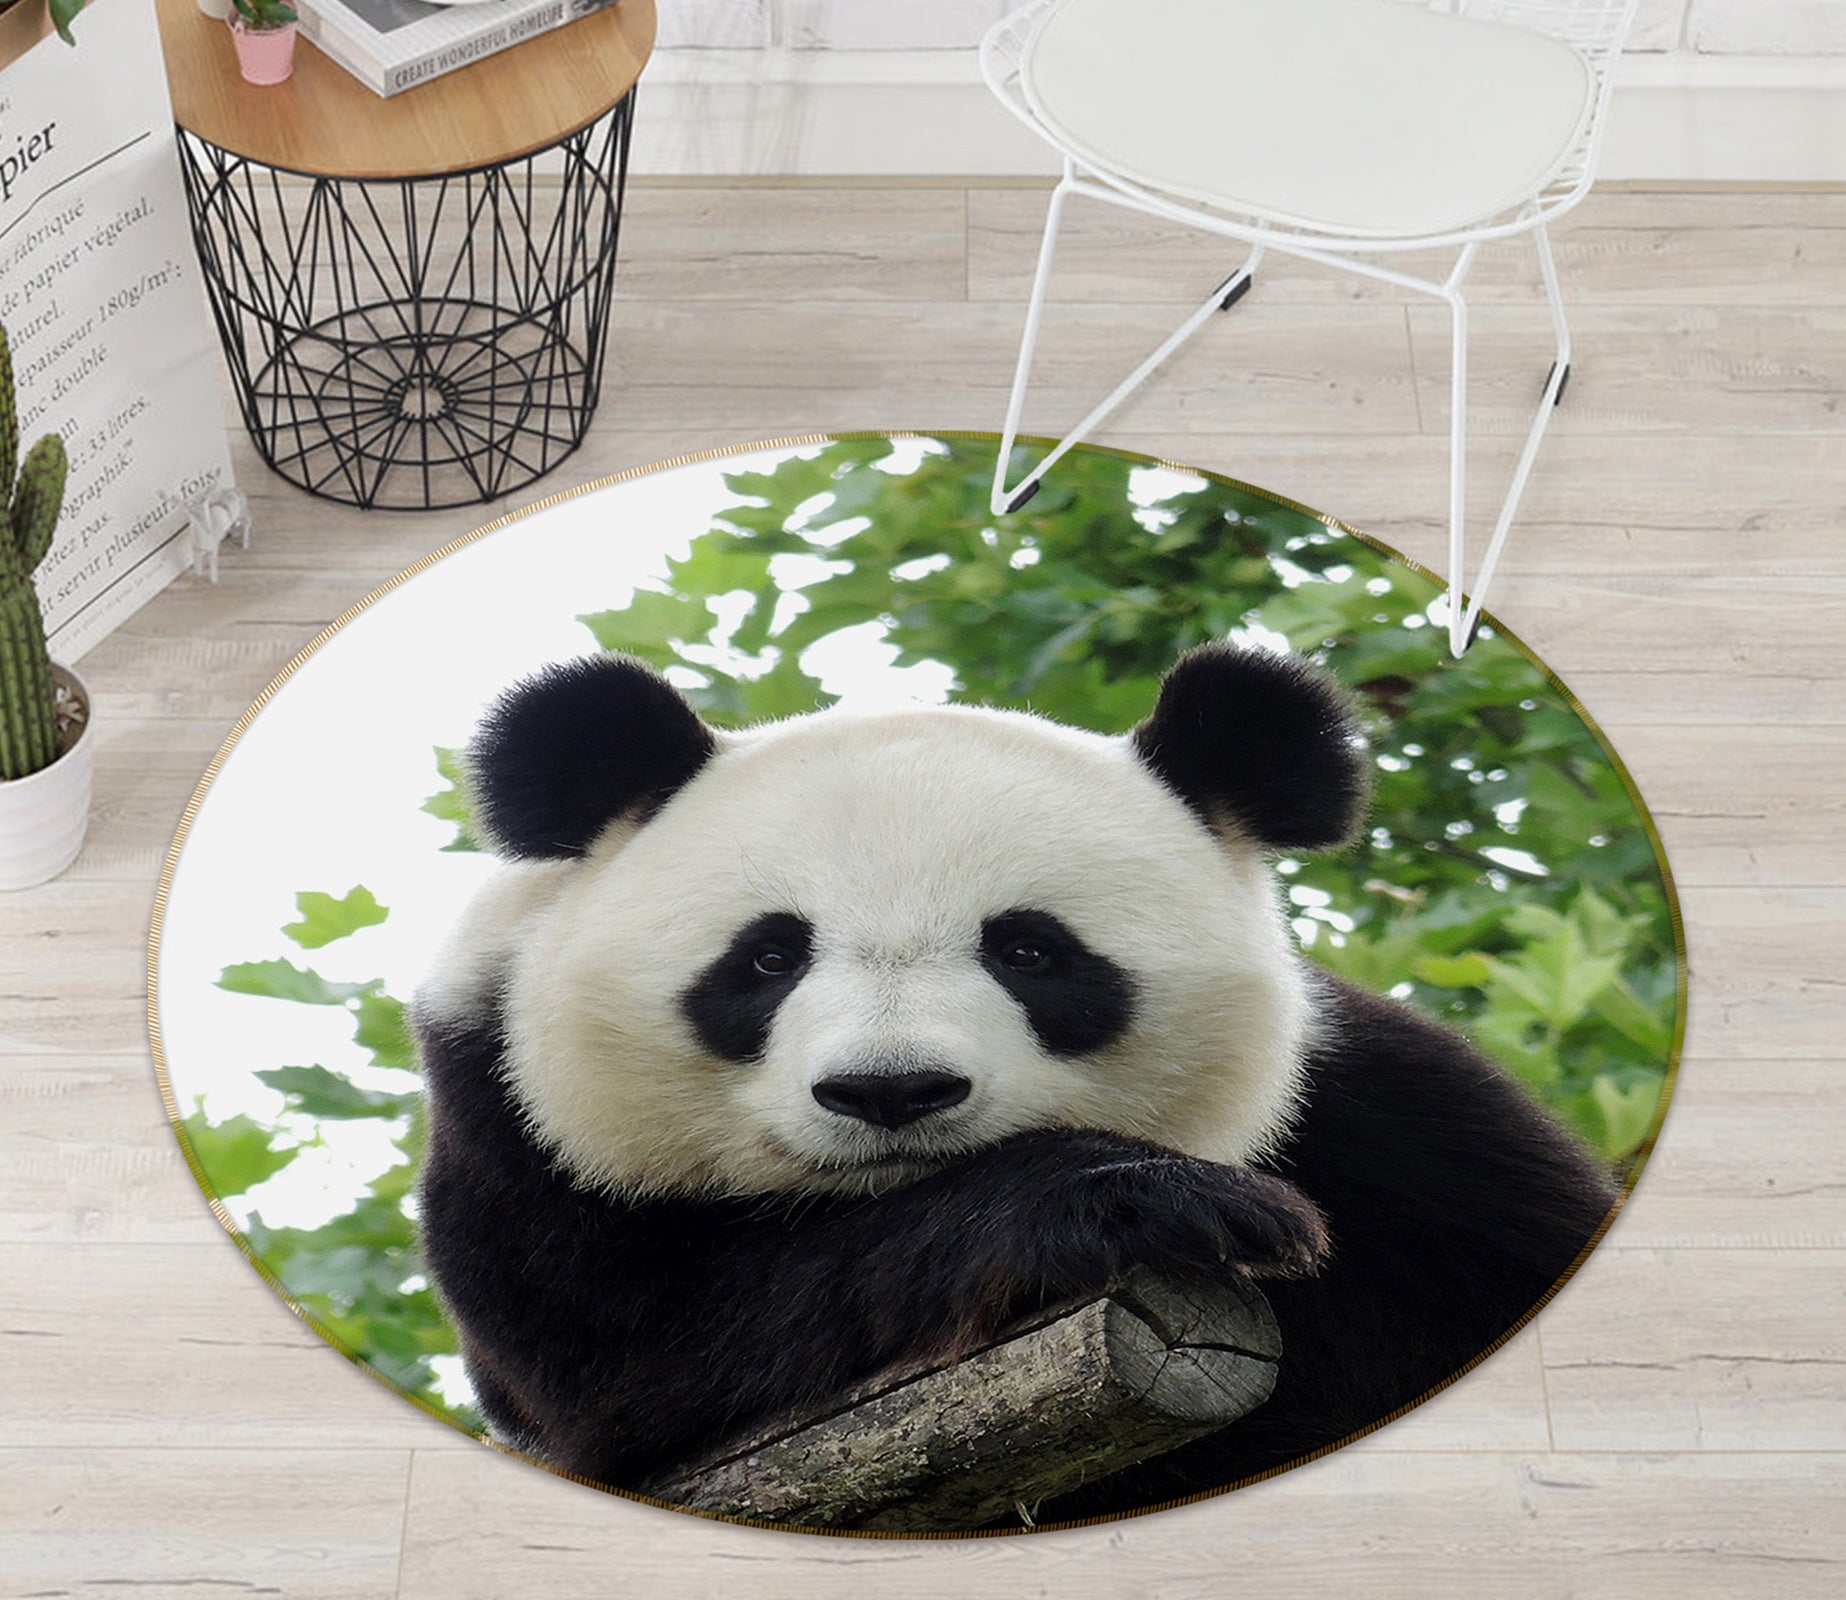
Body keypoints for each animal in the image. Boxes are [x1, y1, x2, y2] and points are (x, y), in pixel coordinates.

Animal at [412, 643, 1618, 1525]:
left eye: (1031, 950)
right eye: (766, 959)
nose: (890, 1092)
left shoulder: (1395, 1131)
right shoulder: (514, 1132)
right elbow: (658, 1342)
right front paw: (1142, 1200)